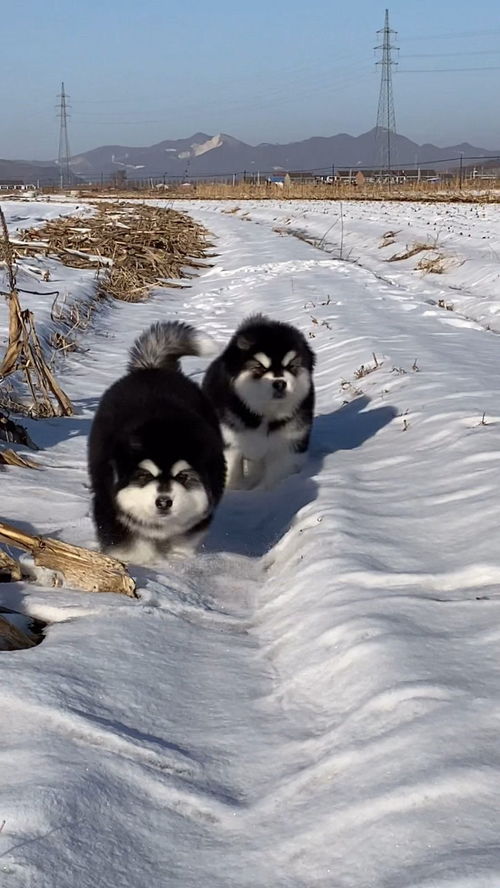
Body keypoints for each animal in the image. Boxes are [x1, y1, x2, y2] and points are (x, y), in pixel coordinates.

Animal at [88, 322, 225, 564]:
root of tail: (152, 368)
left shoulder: (202, 509)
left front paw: (177, 561)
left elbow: (184, 538)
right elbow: (130, 544)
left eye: (183, 476)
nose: (163, 502)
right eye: (144, 476)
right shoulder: (108, 504)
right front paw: (140, 563)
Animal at [201, 314, 314, 492]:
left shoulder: (290, 441)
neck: (265, 414)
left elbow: (279, 474)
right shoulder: (229, 440)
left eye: (291, 366)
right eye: (260, 367)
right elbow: (232, 473)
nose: (280, 383)